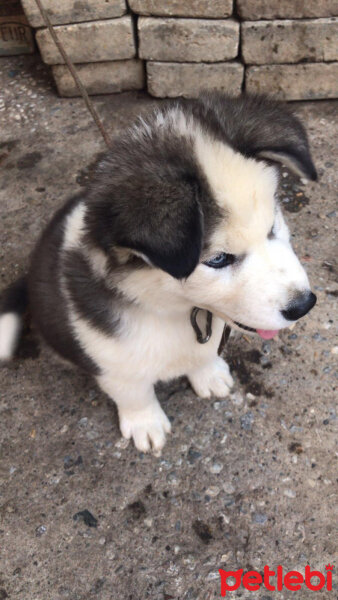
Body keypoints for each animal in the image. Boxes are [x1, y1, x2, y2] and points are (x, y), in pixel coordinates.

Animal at [0, 92, 316, 450]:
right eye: (218, 259)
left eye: (272, 227)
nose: (304, 305)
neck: (170, 309)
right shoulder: (112, 359)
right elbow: (134, 392)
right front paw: (145, 422)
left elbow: (203, 354)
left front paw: (208, 373)